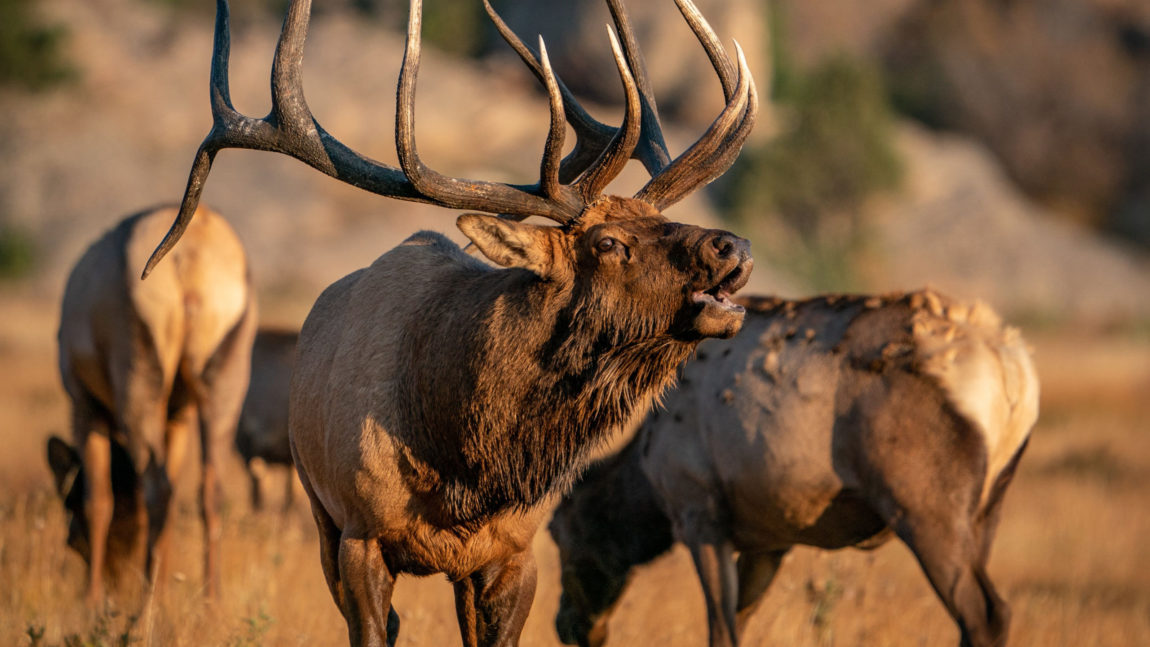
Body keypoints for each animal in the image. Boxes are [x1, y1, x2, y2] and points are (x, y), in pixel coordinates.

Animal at [47, 204, 257, 604]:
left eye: (69, 510)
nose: (115, 578)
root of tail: (192, 252)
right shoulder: (177, 415)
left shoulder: (83, 404)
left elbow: (99, 499)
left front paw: (91, 600)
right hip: (225, 378)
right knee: (209, 489)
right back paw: (210, 602)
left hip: (139, 377)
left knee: (157, 489)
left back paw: (145, 605)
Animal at [548, 290, 1040, 647]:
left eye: (558, 534)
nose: (567, 626)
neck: (645, 477)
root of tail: (1011, 367)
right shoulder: (772, 539)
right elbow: (740, 622)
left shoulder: (698, 513)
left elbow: (721, 630)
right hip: (988, 508)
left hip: (924, 506)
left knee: (987, 614)